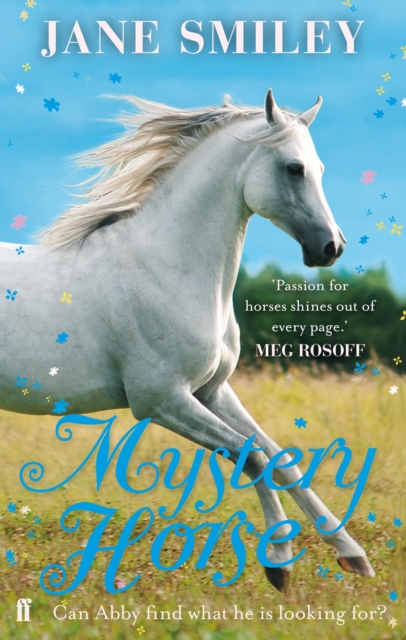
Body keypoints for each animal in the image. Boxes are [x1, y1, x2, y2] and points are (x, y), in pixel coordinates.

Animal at [0, 89, 374, 591]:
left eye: (319, 168)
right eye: (294, 168)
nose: (332, 247)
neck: (167, 267)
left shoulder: (211, 391)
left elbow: (282, 459)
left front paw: (352, 555)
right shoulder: (161, 400)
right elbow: (253, 457)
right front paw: (279, 564)